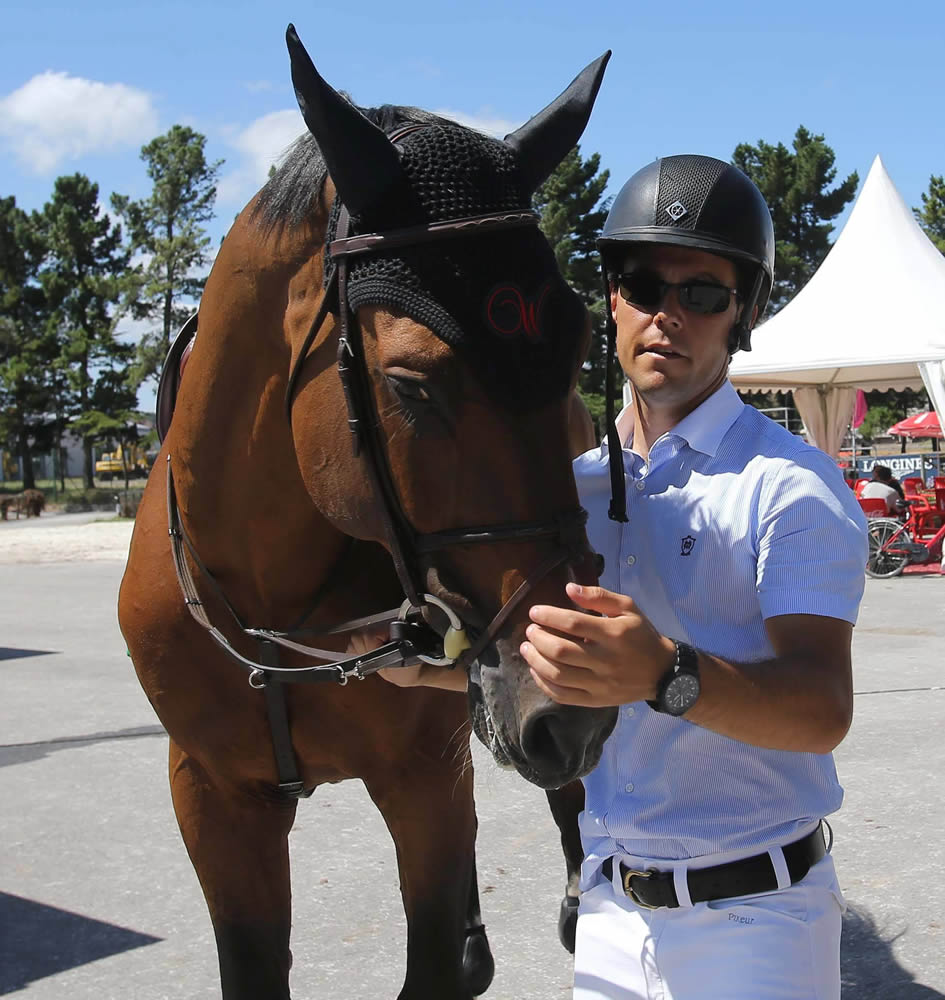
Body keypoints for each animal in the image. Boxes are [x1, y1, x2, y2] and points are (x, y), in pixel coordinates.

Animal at [118, 25, 612, 1000]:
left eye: (579, 344)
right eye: (410, 383)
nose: (566, 706)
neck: (268, 602)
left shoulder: (422, 778)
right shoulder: (210, 794)